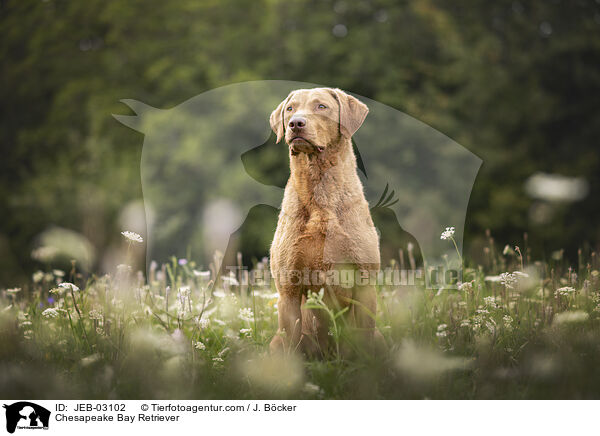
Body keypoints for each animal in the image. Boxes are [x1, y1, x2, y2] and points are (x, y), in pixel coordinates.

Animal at [270, 87, 382, 354]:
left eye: (321, 106)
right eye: (290, 108)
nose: (295, 123)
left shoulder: (365, 285)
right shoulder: (288, 289)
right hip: (275, 341)